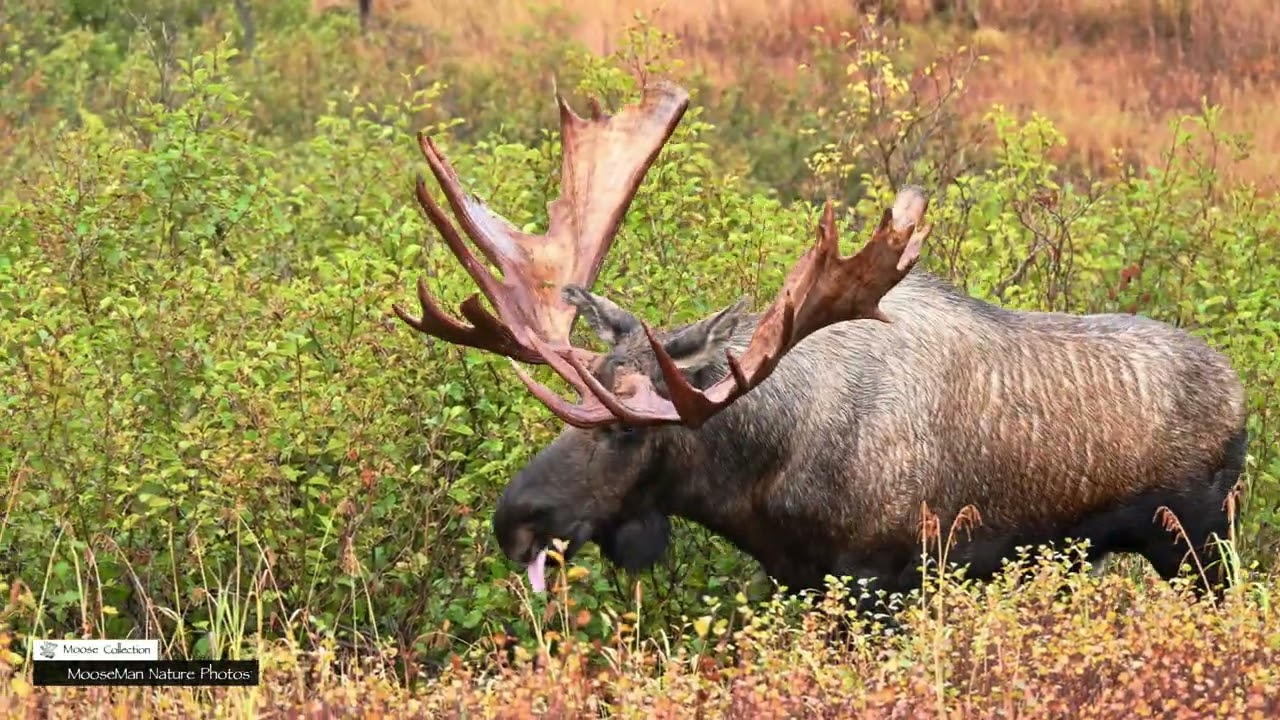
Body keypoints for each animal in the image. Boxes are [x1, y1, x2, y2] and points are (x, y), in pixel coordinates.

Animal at [391, 79, 1248, 615]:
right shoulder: (801, 579)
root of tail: (1243, 397)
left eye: (629, 430)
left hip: (1201, 545)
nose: (515, 520)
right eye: (573, 399)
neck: (759, 476)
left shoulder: (881, 581)